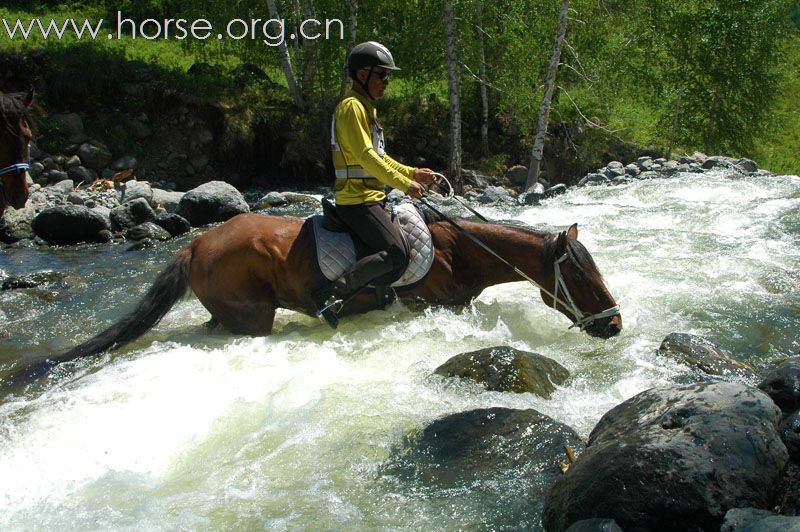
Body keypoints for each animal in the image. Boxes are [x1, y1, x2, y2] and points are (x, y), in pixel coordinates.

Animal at [3, 212, 620, 390]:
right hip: (250, 319)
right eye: (582, 275)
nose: (614, 325)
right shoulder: (431, 308)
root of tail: (197, 242)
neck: (455, 251)